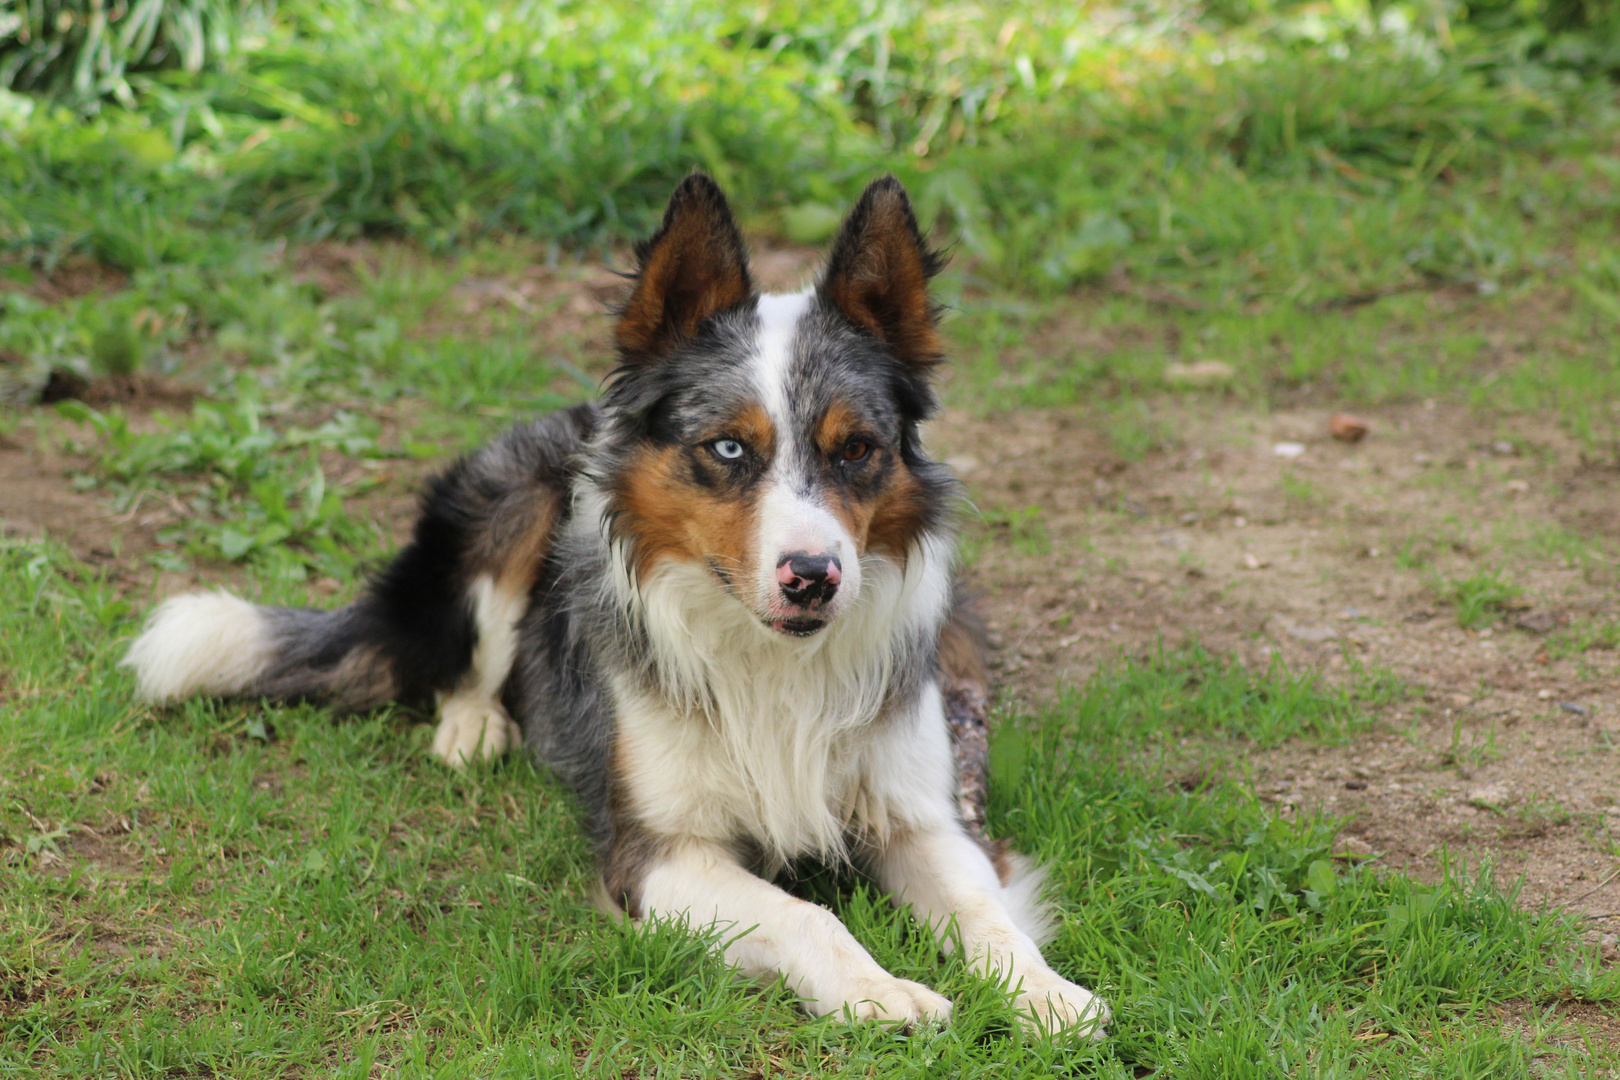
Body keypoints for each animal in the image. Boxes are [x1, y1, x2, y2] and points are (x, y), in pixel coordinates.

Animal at [123, 173, 1114, 1036]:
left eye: (857, 449)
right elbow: (806, 914)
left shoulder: (923, 817)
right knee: (466, 658)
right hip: (514, 504)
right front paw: (880, 992)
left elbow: (986, 914)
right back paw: (475, 728)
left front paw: (1048, 994)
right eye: (727, 448)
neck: (771, 659)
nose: (813, 576)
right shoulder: (656, 852)